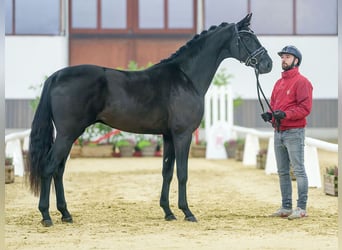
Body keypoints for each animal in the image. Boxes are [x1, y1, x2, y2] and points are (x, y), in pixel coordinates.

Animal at [26, 13, 272, 227]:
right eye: (247, 38)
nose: (268, 64)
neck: (186, 77)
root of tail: (56, 76)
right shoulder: (182, 135)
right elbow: (182, 173)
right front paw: (187, 212)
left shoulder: (169, 136)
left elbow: (167, 172)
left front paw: (168, 212)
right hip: (67, 134)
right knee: (49, 167)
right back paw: (46, 216)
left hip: (69, 135)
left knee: (58, 170)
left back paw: (65, 214)